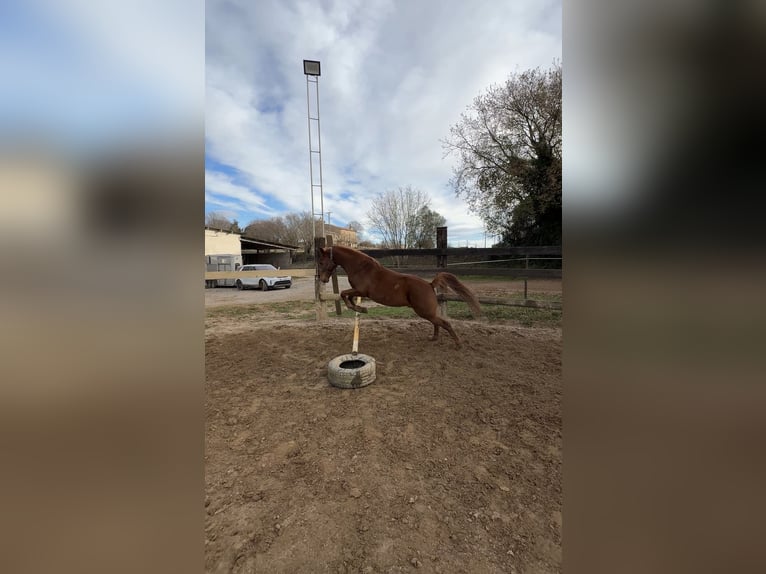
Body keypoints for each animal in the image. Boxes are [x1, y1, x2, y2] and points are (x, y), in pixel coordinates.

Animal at [316, 245, 482, 348]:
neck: (361, 268)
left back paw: (458, 344)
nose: (323, 280)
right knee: (437, 323)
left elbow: (344, 294)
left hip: (424, 312)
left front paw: (361, 309)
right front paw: (360, 308)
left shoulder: (361, 291)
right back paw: (434, 338)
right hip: (428, 312)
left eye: (322, 261)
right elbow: (346, 296)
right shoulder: (358, 292)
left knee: (444, 323)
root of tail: (429, 284)